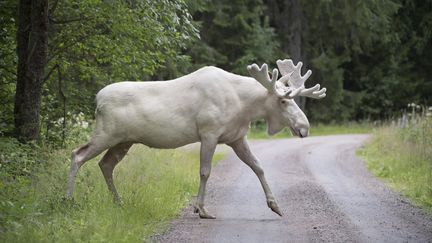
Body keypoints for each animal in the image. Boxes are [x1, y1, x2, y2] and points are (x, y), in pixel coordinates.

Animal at [66, 58, 326, 218]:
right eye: (283, 100)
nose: (304, 127)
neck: (244, 106)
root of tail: (97, 99)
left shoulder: (236, 138)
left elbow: (258, 166)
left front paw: (275, 205)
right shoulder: (209, 133)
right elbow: (205, 171)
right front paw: (201, 209)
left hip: (124, 141)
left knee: (105, 164)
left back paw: (118, 202)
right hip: (107, 133)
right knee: (77, 154)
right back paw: (68, 200)